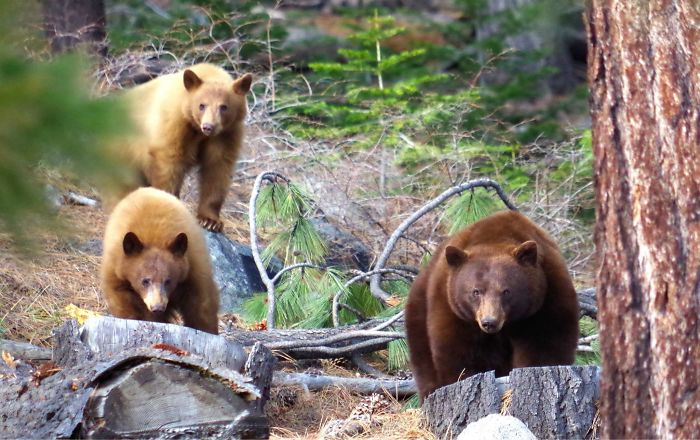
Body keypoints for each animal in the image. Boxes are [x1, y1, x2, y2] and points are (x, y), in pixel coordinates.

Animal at [101, 187, 220, 334]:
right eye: (145, 281)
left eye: (168, 281)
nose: (157, 307)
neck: (155, 238)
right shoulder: (116, 269)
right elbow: (122, 301)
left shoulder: (194, 267)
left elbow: (202, 305)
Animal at [107, 63, 253, 232]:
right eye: (202, 105)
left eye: (224, 107)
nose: (208, 126)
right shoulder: (174, 124)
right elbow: (170, 164)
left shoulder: (225, 135)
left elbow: (217, 169)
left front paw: (210, 220)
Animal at [405, 210, 579, 400]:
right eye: (476, 291)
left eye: (506, 291)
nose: (489, 322)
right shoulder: (454, 310)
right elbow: (463, 355)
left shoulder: (547, 298)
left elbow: (545, 343)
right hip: (419, 314)